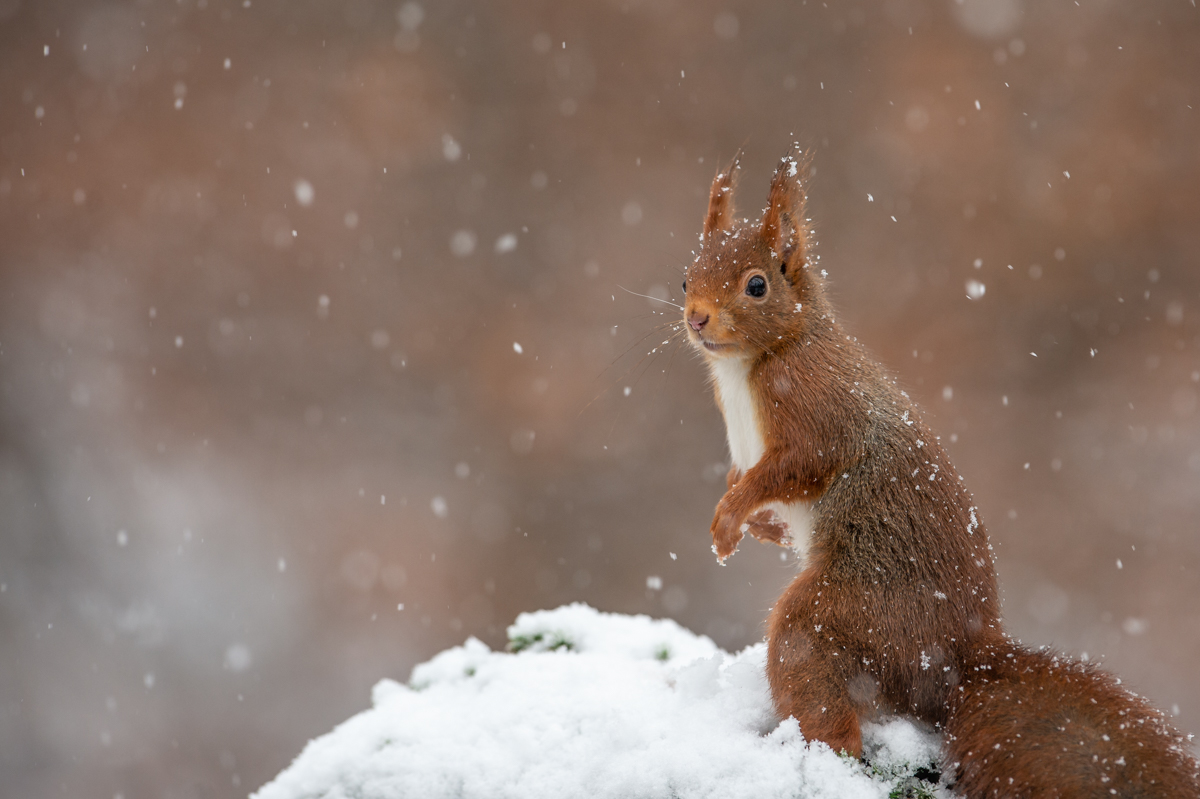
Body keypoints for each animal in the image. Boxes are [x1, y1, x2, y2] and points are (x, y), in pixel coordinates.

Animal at [686, 151, 1200, 796]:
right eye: (685, 278)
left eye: (756, 284)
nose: (695, 317)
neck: (760, 360)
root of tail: (960, 660)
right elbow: (745, 478)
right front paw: (761, 527)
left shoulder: (817, 410)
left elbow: (797, 468)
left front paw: (731, 518)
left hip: (849, 609)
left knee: (817, 680)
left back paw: (818, 754)